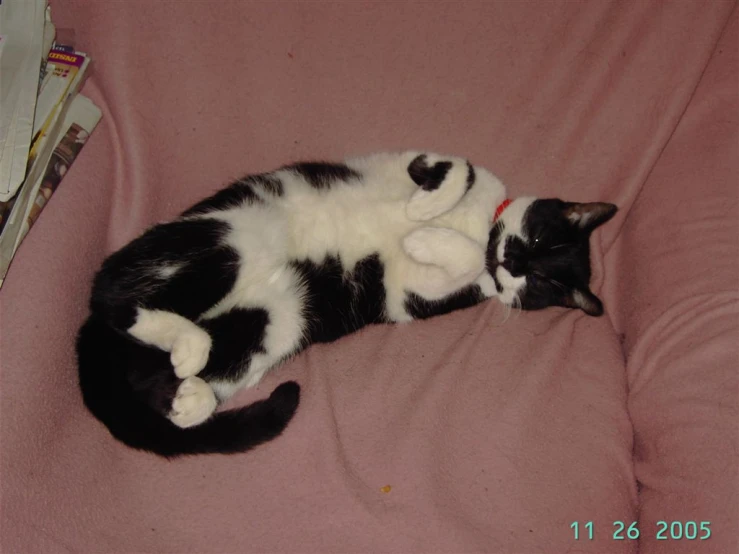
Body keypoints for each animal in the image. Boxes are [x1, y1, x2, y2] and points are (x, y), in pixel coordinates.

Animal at [76, 149, 620, 454]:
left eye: (537, 282)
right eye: (535, 241)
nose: (511, 261)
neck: (480, 226)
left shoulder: (412, 294)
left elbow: (460, 262)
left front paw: (423, 237)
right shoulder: (413, 160)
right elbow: (457, 170)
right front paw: (423, 211)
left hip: (280, 313)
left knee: (171, 378)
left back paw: (192, 389)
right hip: (229, 235)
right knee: (110, 288)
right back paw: (183, 345)